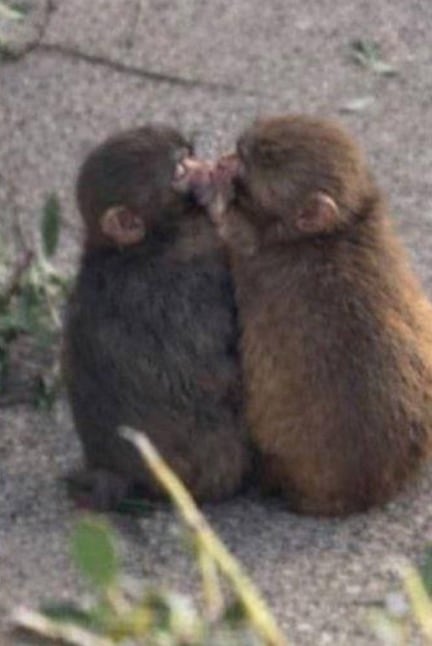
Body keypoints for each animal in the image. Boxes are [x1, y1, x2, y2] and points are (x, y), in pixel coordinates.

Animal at [62, 124, 250, 510]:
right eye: (180, 170)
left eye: (190, 155)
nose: (211, 168)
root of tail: (115, 472)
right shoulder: (192, 270)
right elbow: (222, 365)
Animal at [178, 115, 432, 516]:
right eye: (238, 153)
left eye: (245, 166)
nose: (224, 161)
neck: (334, 232)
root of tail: (368, 491)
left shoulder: (253, 261)